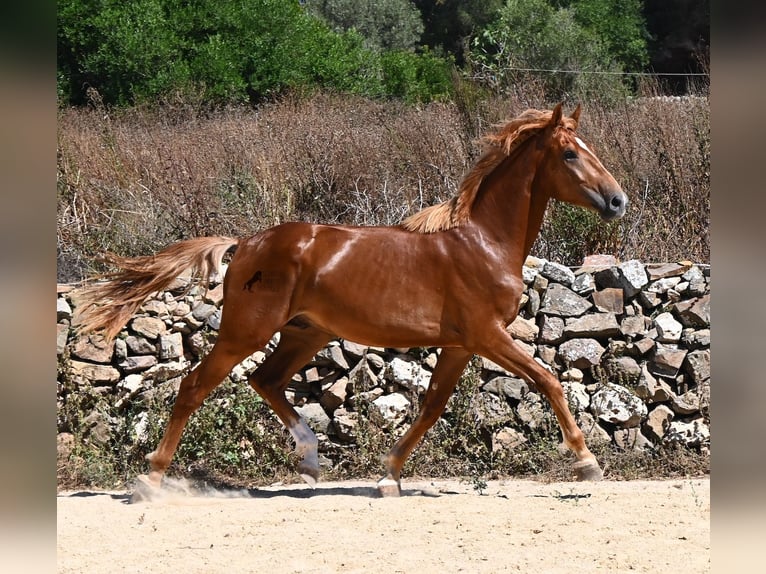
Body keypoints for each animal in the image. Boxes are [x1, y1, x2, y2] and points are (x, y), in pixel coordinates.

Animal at [74, 103, 628, 499]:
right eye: (570, 154)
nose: (617, 200)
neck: (484, 243)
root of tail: (246, 243)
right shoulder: (486, 335)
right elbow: (548, 380)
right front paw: (587, 462)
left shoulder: (459, 345)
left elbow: (431, 406)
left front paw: (389, 476)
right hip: (245, 331)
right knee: (194, 387)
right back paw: (150, 480)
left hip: (306, 332)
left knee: (265, 380)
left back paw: (310, 459)